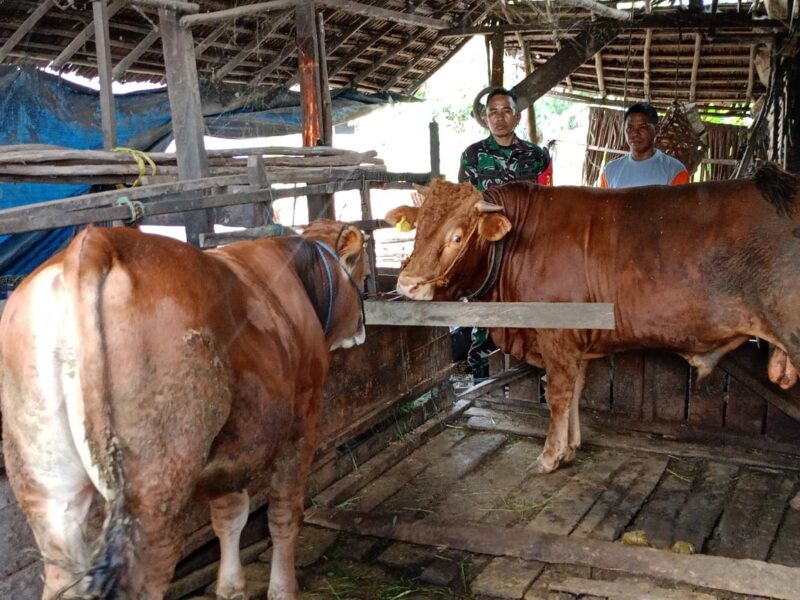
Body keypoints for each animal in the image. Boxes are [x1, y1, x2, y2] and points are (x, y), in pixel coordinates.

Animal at [0, 220, 368, 600]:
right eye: (365, 275)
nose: (361, 328)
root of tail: (95, 242)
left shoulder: (232, 448)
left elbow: (229, 515)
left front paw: (231, 587)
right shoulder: (304, 420)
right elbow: (284, 513)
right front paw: (283, 590)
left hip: (47, 492)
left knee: (61, 575)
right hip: (155, 489)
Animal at [384, 164, 796, 474]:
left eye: (457, 237)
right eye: (418, 229)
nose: (407, 284)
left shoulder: (557, 337)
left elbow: (558, 394)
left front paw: (549, 457)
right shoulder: (575, 341)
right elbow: (577, 390)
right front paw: (569, 448)